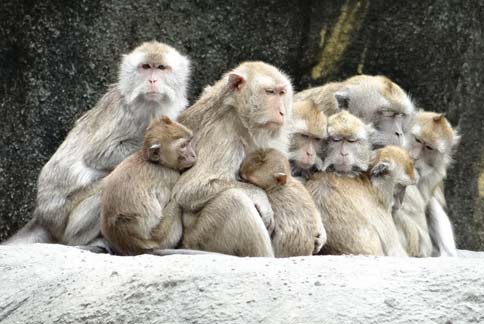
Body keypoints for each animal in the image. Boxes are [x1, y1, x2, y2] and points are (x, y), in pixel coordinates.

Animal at [101, 116, 196, 256]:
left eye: (190, 142)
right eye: (183, 146)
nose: (193, 155)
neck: (154, 162)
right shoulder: (170, 176)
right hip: (162, 236)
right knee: (175, 204)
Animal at [172, 62, 294, 256]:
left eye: (281, 93)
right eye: (269, 92)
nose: (281, 112)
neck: (240, 116)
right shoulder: (222, 134)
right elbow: (189, 189)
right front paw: (261, 198)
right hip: (202, 236)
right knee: (234, 201)